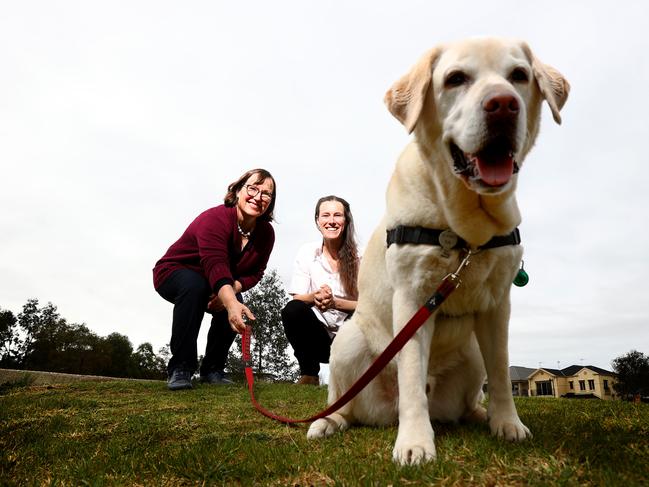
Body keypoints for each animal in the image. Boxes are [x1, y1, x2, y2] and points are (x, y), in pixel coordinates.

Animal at [308, 38, 568, 466]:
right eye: (456, 79)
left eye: (519, 75)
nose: (503, 104)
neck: (467, 228)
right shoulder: (413, 298)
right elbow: (412, 377)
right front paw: (414, 443)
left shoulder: (498, 305)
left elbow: (501, 373)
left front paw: (507, 423)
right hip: (347, 342)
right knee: (345, 402)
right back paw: (328, 422)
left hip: (471, 356)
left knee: (469, 397)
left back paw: (480, 415)